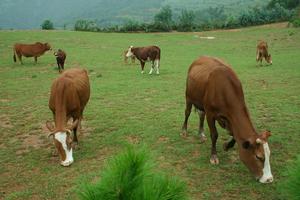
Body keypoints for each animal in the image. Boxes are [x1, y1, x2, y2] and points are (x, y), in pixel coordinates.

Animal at [182, 55, 274, 183]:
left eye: (269, 155)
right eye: (258, 156)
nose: (269, 179)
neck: (224, 90)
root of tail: (200, 58)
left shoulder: (230, 119)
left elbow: (234, 135)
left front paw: (227, 145)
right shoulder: (210, 113)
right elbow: (214, 135)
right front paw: (213, 156)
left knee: (201, 115)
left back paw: (201, 134)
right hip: (189, 96)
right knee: (187, 113)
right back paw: (184, 131)